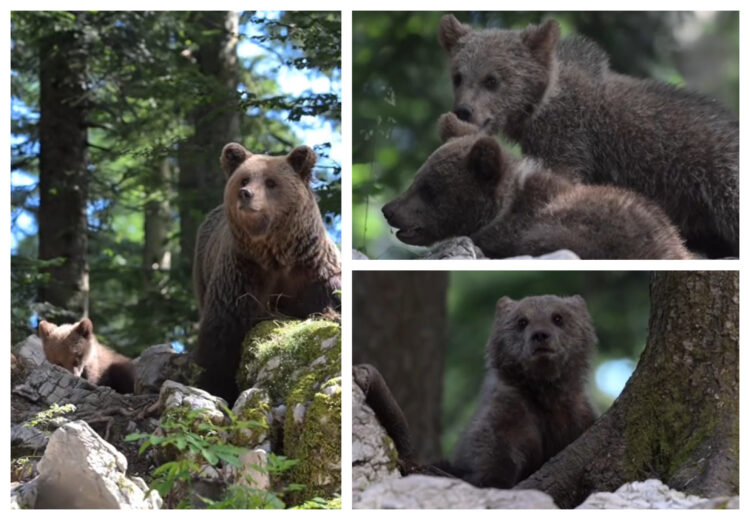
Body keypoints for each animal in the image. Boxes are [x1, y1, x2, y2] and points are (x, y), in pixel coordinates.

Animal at [195, 144, 346, 404]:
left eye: (271, 182)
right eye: (244, 179)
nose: (245, 193)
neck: (276, 252)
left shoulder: (313, 269)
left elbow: (331, 298)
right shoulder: (242, 275)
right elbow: (220, 337)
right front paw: (214, 386)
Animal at [440, 15, 740, 258]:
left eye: (492, 80)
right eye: (458, 76)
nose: (464, 110)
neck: (535, 111)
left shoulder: (569, 139)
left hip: (720, 180)